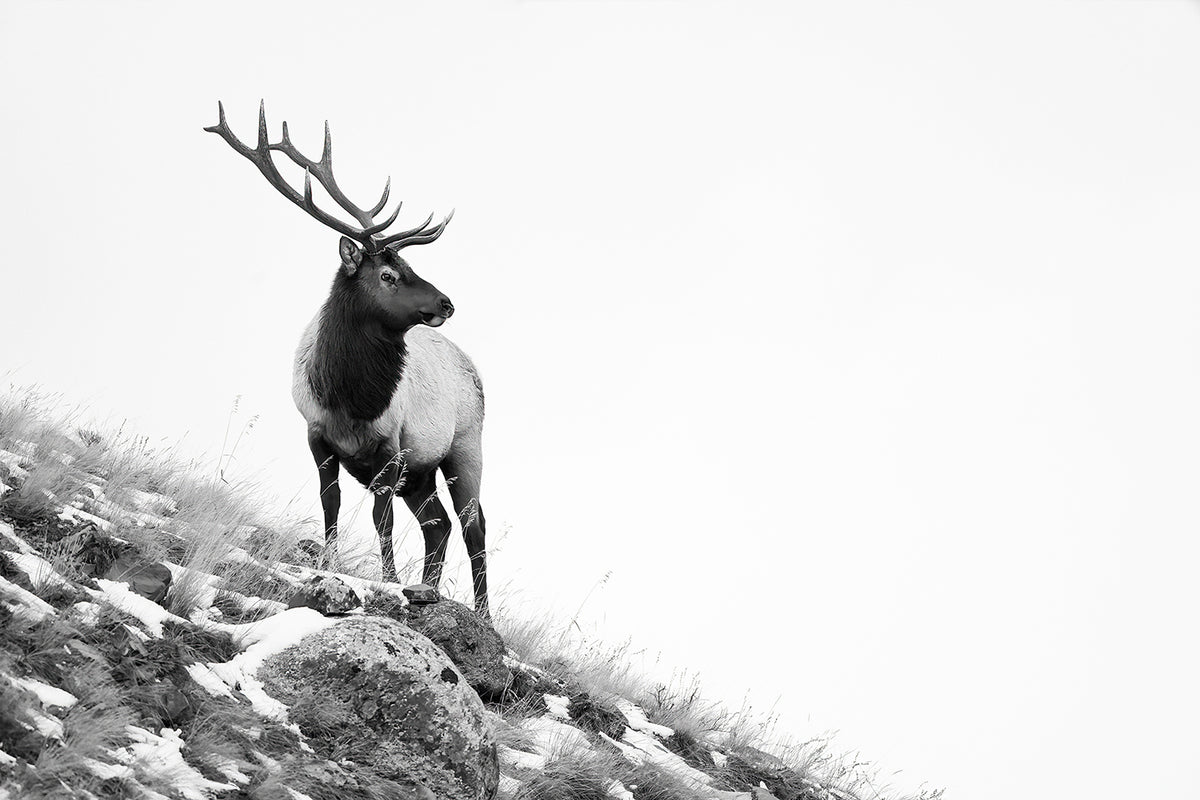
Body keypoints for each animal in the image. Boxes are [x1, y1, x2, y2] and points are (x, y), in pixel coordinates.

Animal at [205, 102, 490, 615]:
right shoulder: (317, 435)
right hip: (424, 472)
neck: (350, 397)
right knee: (439, 524)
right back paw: (430, 588)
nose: (447, 303)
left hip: (466, 444)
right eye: (388, 274)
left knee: (474, 525)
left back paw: (482, 612)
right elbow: (331, 502)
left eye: (409, 266)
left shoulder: (393, 448)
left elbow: (381, 519)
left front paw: (389, 579)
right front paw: (333, 563)